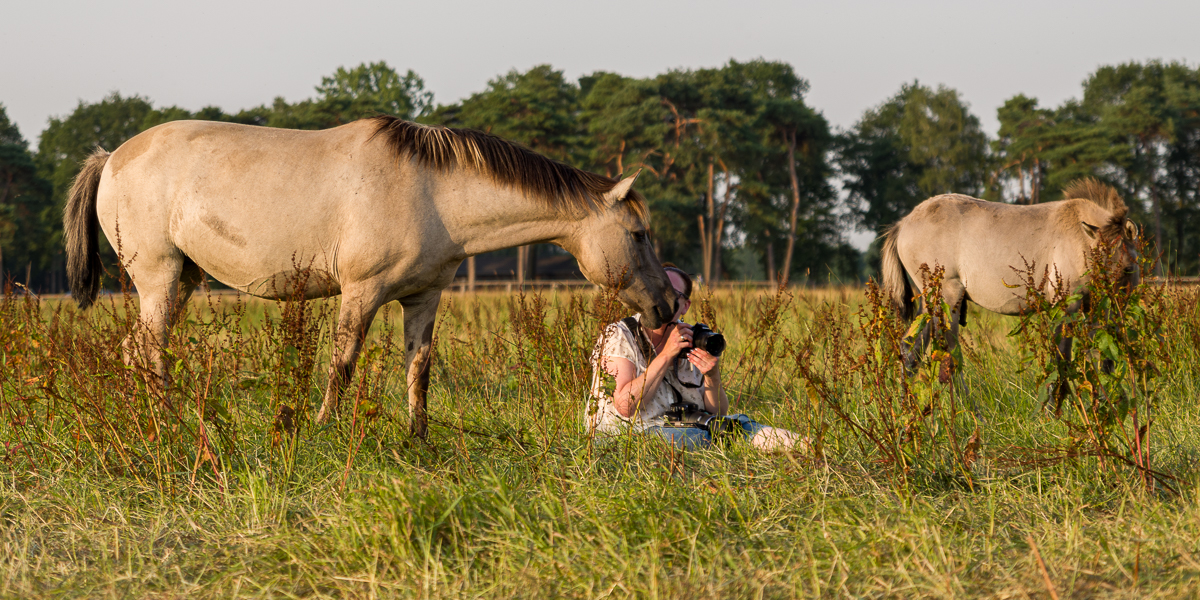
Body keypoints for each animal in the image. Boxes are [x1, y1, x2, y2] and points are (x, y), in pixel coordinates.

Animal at [65, 115, 681, 436]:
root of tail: (110, 156)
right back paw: (168, 425)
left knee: (138, 351)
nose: (666, 306)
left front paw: (419, 438)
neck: (434, 192)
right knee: (148, 351)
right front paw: (321, 429)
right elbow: (342, 366)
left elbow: (419, 369)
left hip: (183, 282)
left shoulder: (424, 298)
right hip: (160, 280)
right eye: (638, 234)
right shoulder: (360, 294)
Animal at [878, 176, 1137, 364]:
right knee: (949, 352)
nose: (1118, 305)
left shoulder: (1093, 306)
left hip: (929, 302)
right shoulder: (1065, 304)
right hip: (946, 298)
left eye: (1128, 268)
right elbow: (1061, 356)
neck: (1079, 238)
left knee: (910, 350)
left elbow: (1100, 356)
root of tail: (902, 224)